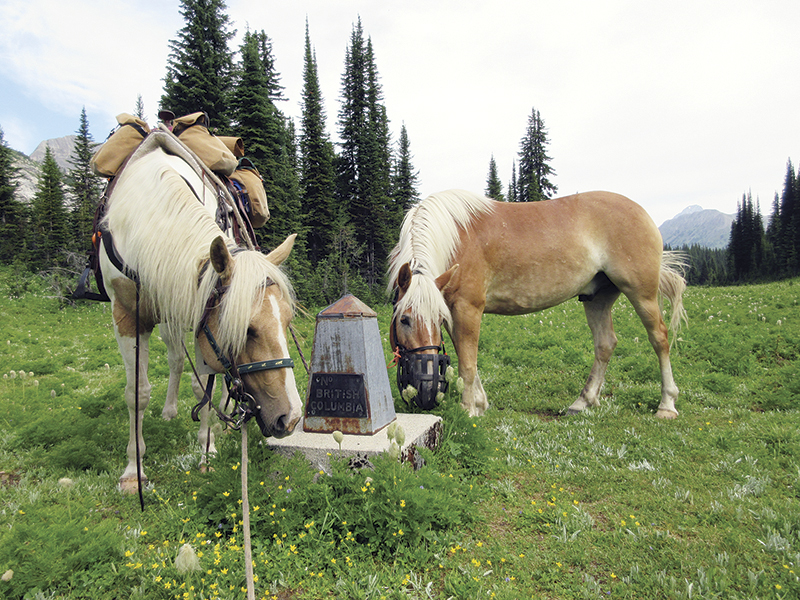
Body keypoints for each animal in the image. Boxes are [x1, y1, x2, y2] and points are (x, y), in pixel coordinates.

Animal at [97, 133, 302, 493]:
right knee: (175, 359)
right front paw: (133, 471)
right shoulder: (127, 317)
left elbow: (202, 385)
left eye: (287, 321)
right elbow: (137, 393)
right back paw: (169, 411)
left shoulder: (197, 317)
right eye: (247, 330)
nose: (290, 418)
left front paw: (207, 449)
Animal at [387, 189, 687, 418]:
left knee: (659, 338)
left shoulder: (467, 308)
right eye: (404, 319)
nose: (425, 390)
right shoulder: (452, 308)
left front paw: (468, 410)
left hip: (642, 294)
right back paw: (583, 402)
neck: (455, 238)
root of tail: (643, 213)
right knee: (605, 344)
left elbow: (468, 364)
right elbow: (464, 356)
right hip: (597, 298)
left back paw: (667, 404)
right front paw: (480, 403)